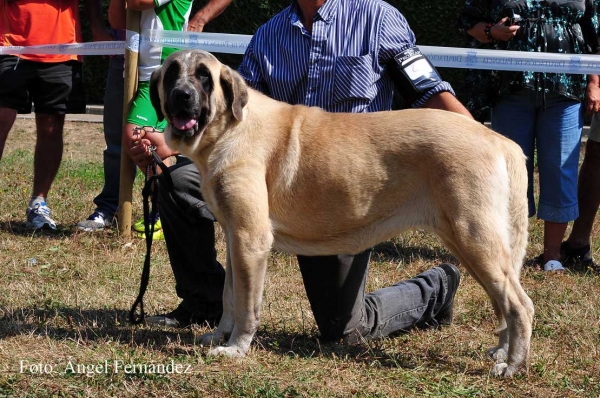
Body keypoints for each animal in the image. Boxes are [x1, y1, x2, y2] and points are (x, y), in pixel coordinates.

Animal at [149, 49, 536, 376]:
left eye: (203, 77)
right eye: (172, 74)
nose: (182, 96)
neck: (229, 130)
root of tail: (499, 140)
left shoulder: (250, 239)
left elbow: (246, 304)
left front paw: (236, 348)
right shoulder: (234, 237)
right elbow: (230, 297)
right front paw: (218, 337)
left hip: (475, 238)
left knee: (520, 304)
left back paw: (512, 364)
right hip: (471, 244)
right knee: (504, 302)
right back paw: (500, 351)